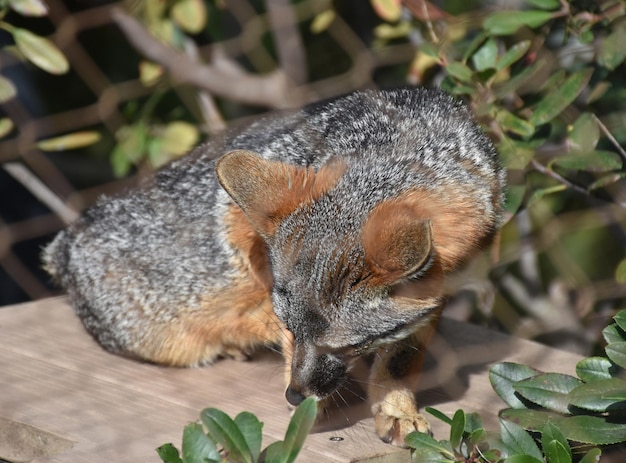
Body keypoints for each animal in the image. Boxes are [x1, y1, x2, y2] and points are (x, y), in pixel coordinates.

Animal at [42, 87, 502, 446]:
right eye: (290, 328)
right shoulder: (243, 205)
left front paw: (396, 406)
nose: (294, 397)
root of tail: (65, 245)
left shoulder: (441, 288)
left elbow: (402, 356)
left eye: (346, 346)